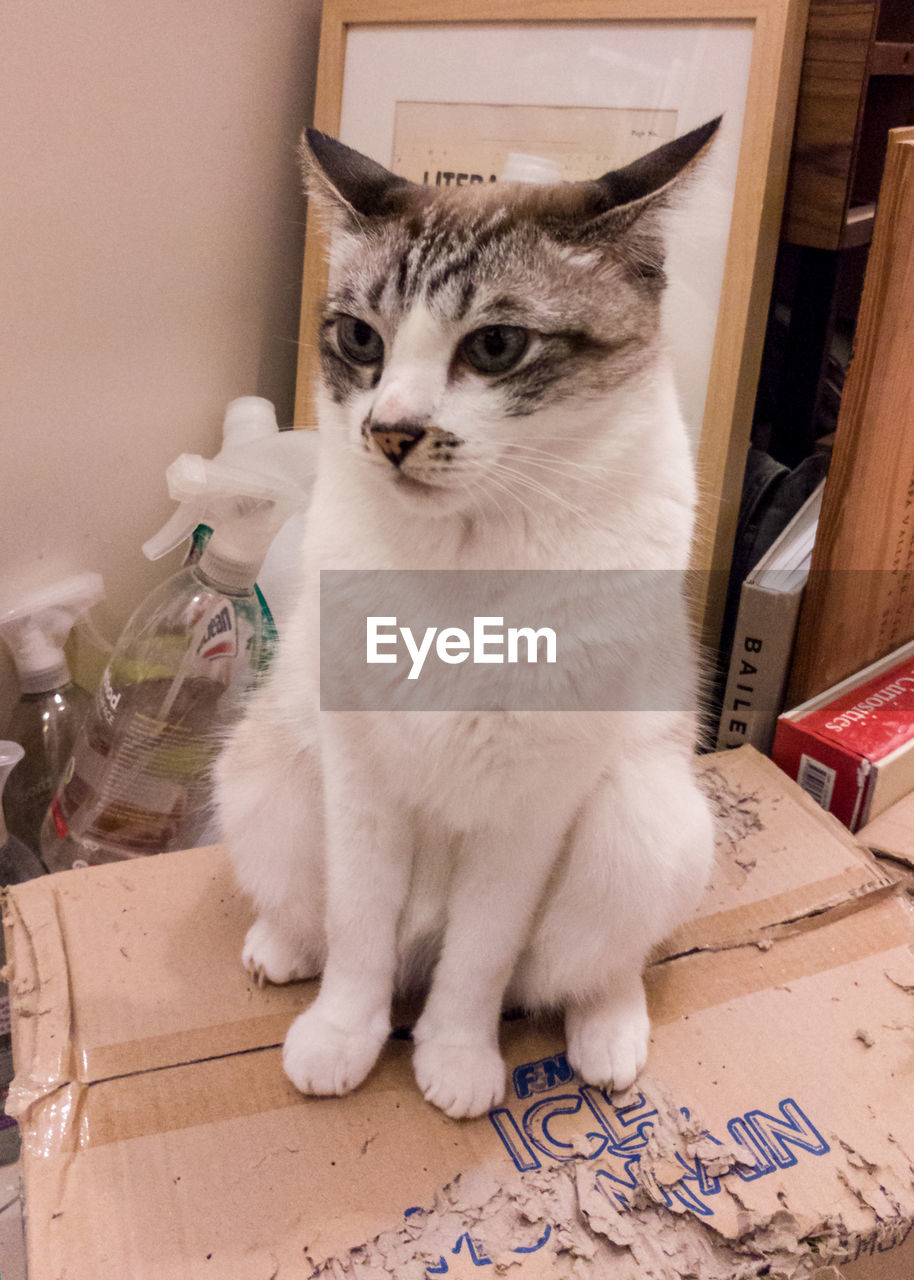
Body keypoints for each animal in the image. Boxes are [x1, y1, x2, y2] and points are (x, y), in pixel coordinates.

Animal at [215, 122, 716, 1121]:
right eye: (359, 338)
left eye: (495, 346)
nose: (390, 431)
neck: (463, 555)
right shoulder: (360, 776)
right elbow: (359, 928)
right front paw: (342, 1038)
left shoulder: (533, 805)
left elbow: (480, 959)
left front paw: (454, 1058)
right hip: (268, 774)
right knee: (318, 913)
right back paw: (282, 948)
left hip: (647, 816)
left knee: (587, 965)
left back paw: (608, 1038)